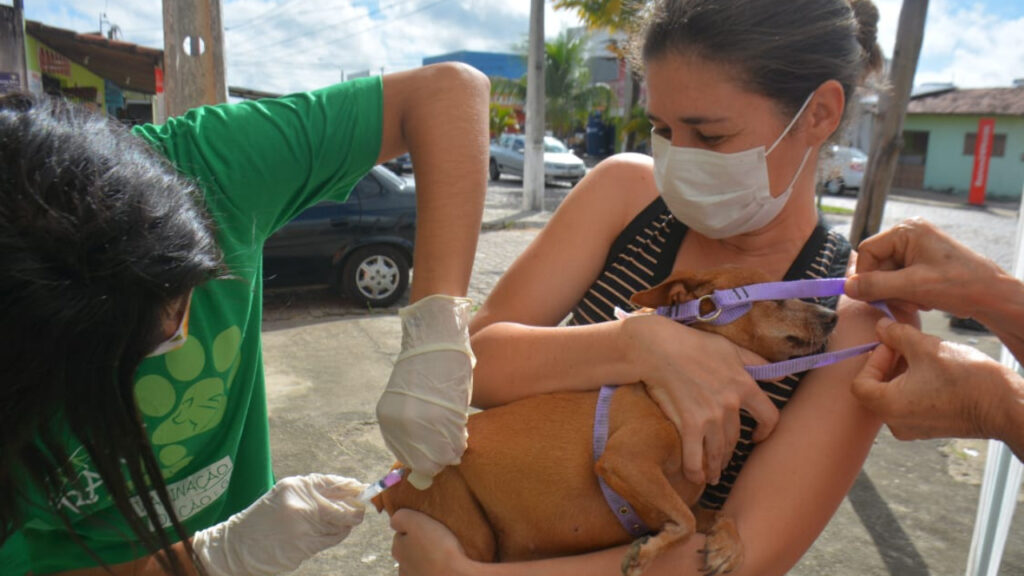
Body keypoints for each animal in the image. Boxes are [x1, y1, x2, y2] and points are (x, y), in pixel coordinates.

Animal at [372, 266, 835, 569]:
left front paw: (726, 545)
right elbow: (685, 523)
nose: (834, 315)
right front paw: (646, 552)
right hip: (466, 525)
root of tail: (392, 477)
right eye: (776, 297)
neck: (660, 395)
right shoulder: (624, 461)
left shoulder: (677, 495)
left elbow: (716, 514)